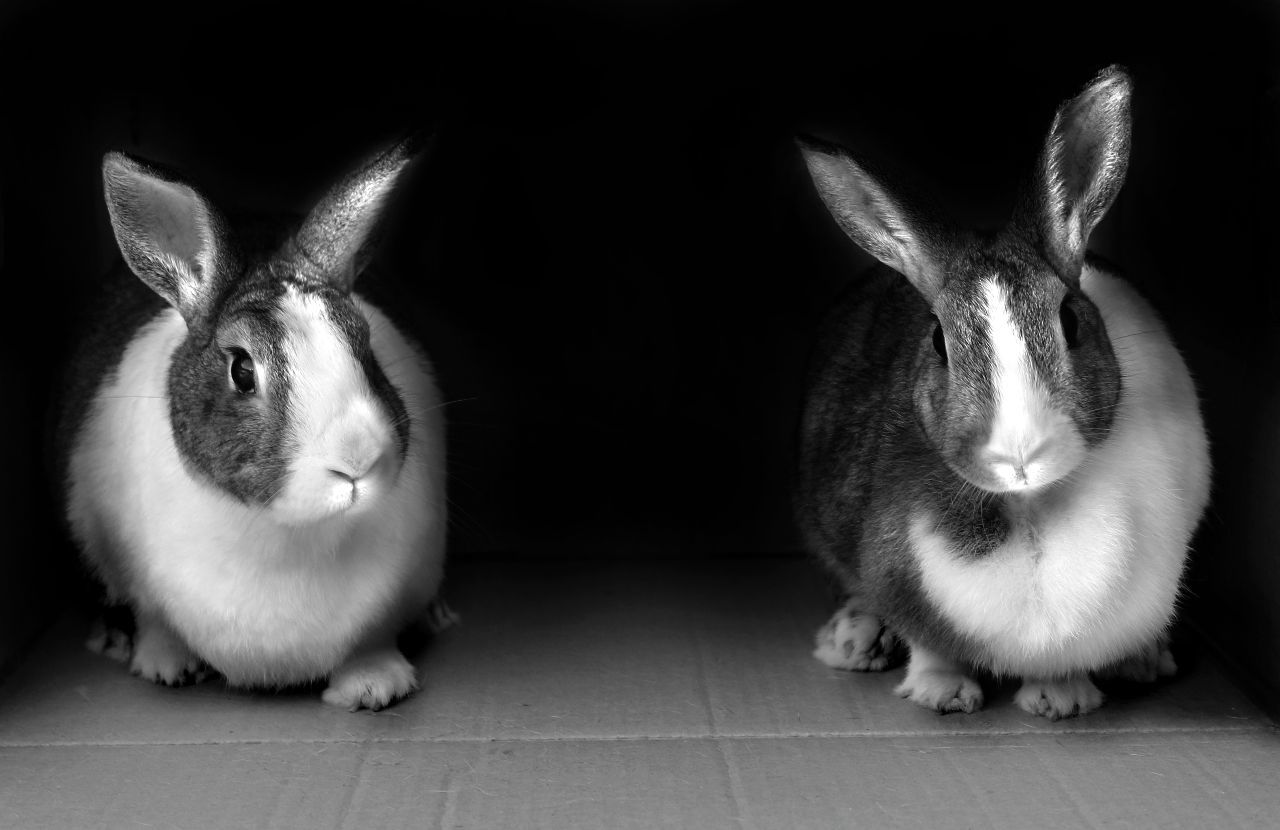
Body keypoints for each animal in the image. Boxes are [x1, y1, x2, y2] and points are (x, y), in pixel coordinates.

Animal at [60, 137, 450, 712]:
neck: (289, 535)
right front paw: (165, 666)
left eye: (365, 345)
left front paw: (373, 688)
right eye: (242, 370)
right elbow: (156, 623)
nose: (358, 459)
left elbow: (371, 641)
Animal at [798, 68, 1208, 717]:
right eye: (937, 340)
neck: (1029, 506)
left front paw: (1063, 700)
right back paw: (852, 640)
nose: (1018, 454)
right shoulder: (898, 572)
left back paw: (1145, 661)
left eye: (1070, 320)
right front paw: (942, 693)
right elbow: (929, 642)